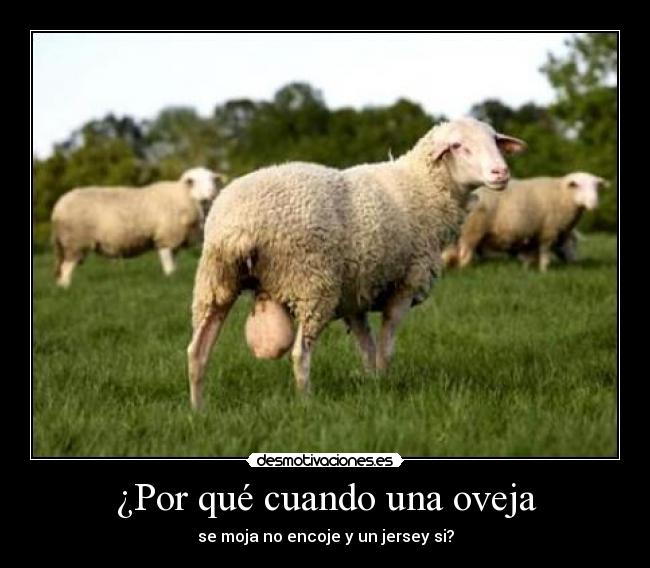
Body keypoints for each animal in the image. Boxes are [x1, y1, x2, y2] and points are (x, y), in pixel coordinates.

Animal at [51, 167, 225, 288]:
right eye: (193, 181)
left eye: (213, 180)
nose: (212, 193)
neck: (184, 196)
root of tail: (58, 207)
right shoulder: (165, 238)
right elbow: (168, 265)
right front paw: (170, 279)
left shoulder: (173, 241)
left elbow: (174, 265)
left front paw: (173, 278)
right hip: (75, 241)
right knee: (66, 268)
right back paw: (66, 288)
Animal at [187, 118, 526, 410]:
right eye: (458, 146)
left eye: (495, 140)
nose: (501, 173)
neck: (422, 187)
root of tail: (239, 225)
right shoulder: (405, 285)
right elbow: (385, 348)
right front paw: (386, 385)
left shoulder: (353, 296)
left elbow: (367, 349)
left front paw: (373, 386)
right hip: (313, 284)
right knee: (300, 354)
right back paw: (306, 403)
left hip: (215, 283)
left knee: (197, 351)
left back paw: (198, 410)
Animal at [441, 172, 609, 272]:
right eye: (579, 186)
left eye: (597, 187)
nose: (594, 205)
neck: (563, 194)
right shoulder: (548, 231)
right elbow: (544, 253)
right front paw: (543, 271)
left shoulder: (532, 234)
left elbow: (529, 255)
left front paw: (527, 269)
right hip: (472, 230)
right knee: (465, 253)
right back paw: (465, 269)